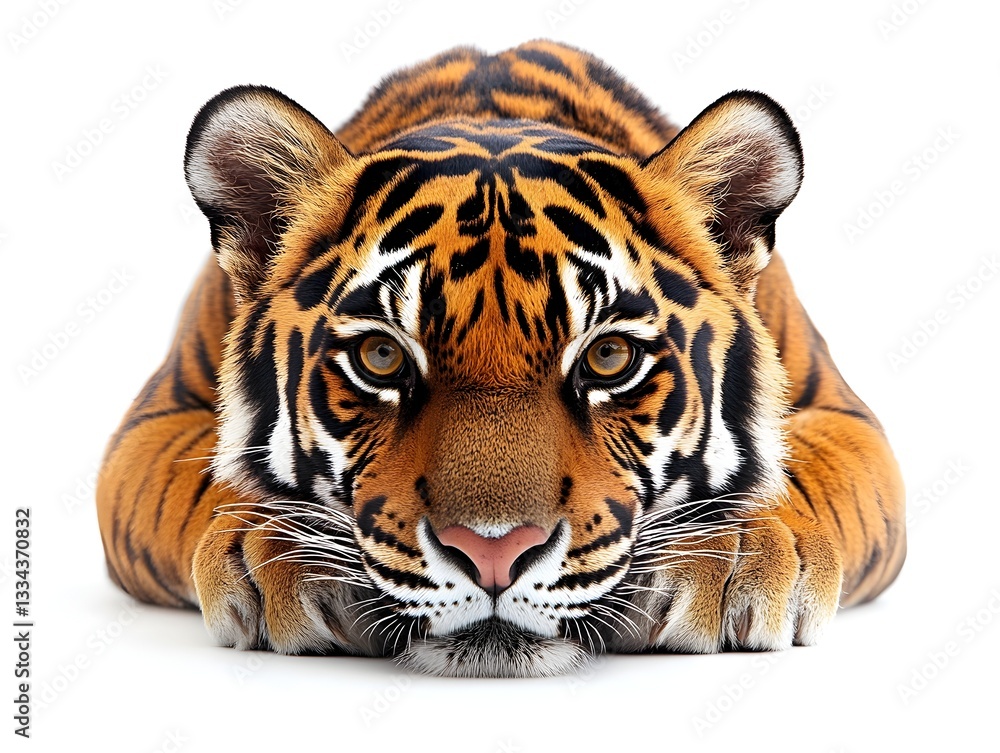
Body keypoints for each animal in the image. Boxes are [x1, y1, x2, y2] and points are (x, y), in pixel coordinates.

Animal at [95, 40, 906, 678]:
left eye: (609, 357)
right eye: (382, 357)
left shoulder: (842, 418)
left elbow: (801, 476)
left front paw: (732, 549)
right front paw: (276, 551)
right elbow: (211, 484)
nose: (492, 552)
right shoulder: (153, 426)